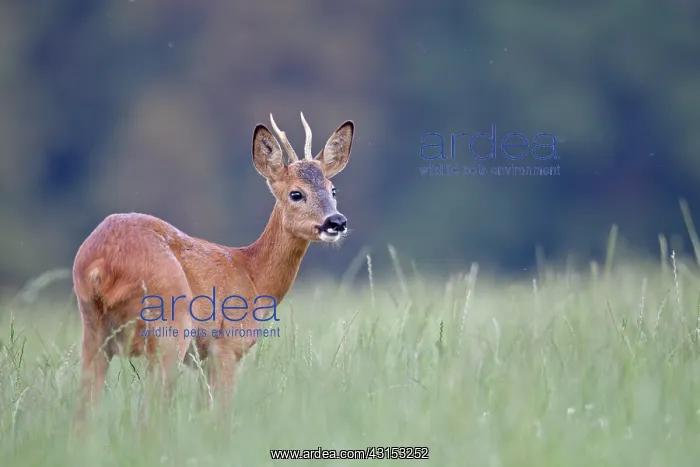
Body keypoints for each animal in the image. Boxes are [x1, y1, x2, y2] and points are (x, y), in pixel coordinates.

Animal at [72, 113, 354, 421]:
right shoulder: (228, 346)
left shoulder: (203, 360)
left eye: (333, 189)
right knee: (149, 414)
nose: (336, 221)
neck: (253, 275)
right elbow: (222, 415)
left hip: (93, 330)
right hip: (169, 328)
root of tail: (100, 266)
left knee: (84, 411)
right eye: (296, 194)